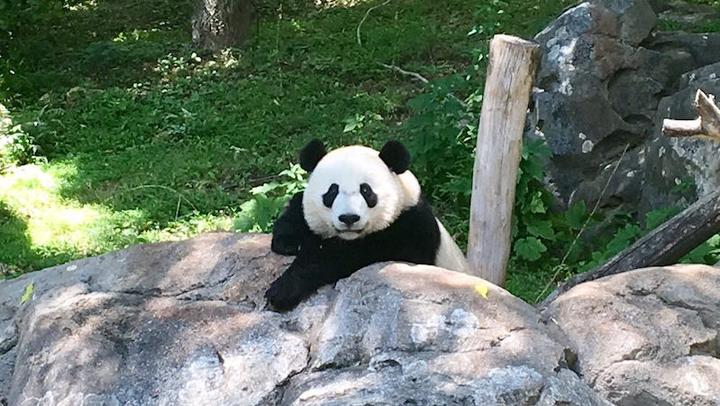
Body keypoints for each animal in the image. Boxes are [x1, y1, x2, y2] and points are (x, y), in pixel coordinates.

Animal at [265, 139, 469, 310]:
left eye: (366, 191)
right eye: (332, 191)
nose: (349, 218)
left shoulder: (410, 228)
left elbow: (347, 256)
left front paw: (283, 290)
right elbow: (297, 208)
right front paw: (288, 242)